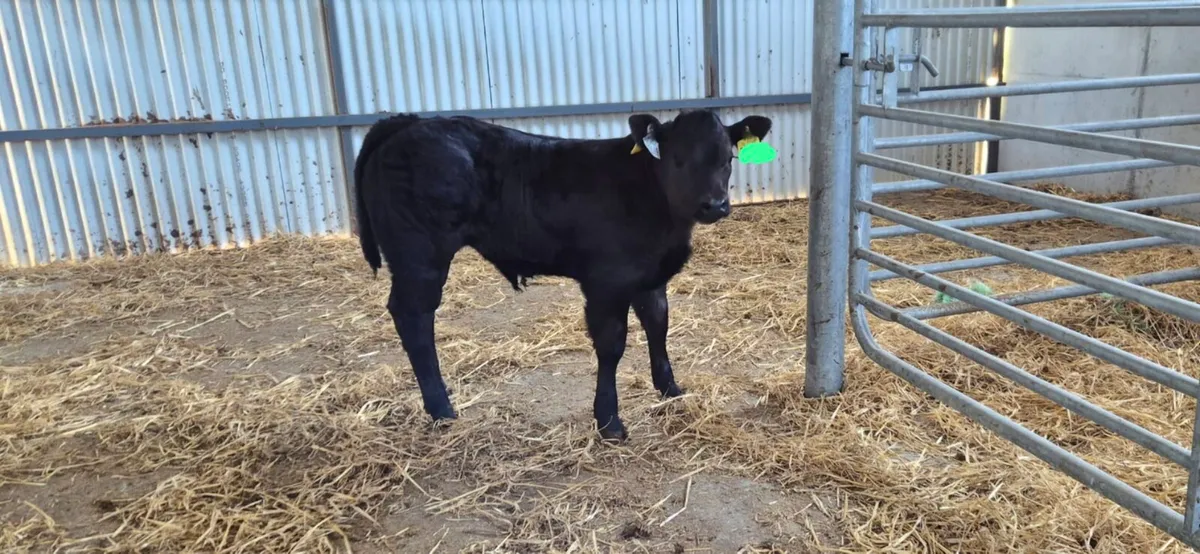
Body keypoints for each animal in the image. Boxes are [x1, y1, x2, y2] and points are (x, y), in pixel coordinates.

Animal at [354, 109, 772, 441]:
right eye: (677, 159)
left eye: (728, 158)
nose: (714, 205)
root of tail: (409, 122)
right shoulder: (606, 282)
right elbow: (612, 345)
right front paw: (609, 421)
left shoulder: (650, 277)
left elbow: (658, 325)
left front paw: (670, 388)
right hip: (420, 254)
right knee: (414, 318)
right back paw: (441, 409)